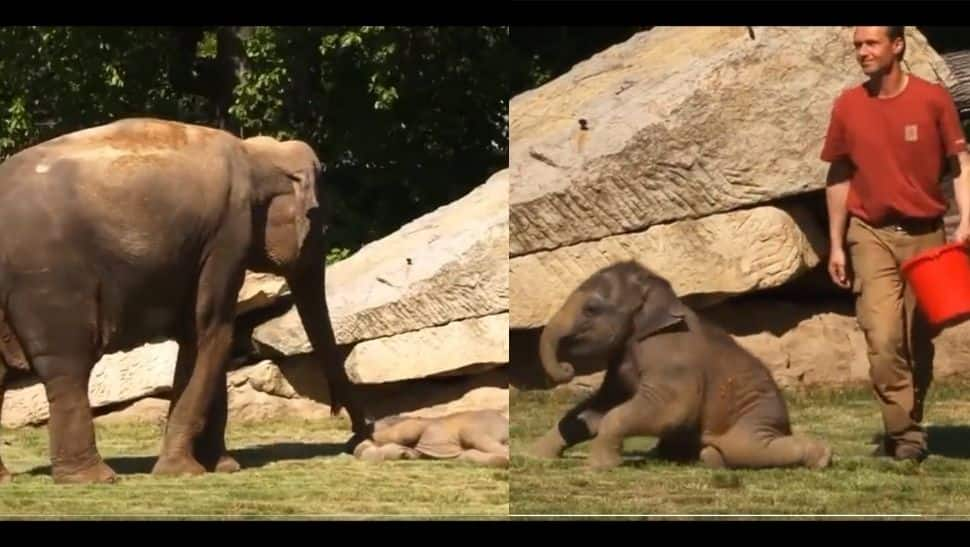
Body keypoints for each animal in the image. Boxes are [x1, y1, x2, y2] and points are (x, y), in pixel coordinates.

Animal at [0, 119, 368, 484]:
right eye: (319, 222)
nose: (359, 439)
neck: (255, 153)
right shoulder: (227, 235)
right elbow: (212, 331)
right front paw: (182, 470)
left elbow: (205, 337)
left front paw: (223, 466)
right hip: (50, 282)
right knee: (68, 365)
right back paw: (94, 478)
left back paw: (9, 478)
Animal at [528, 262, 832, 470]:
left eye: (591, 309)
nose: (567, 368)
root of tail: (784, 421)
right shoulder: (619, 367)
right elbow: (601, 405)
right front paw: (535, 455)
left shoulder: (673, 362)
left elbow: (668, 410)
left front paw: (598, 467)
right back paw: (702, 457)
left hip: (754, 418)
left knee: (750, 449)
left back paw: (822, 457)